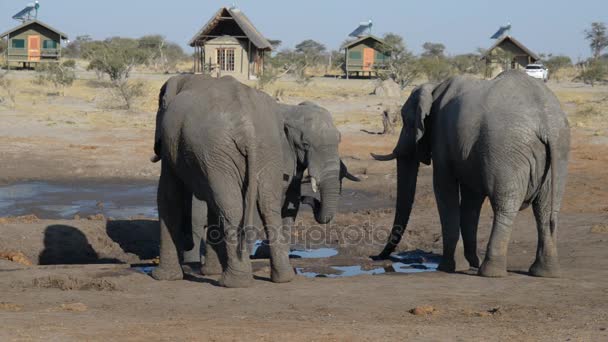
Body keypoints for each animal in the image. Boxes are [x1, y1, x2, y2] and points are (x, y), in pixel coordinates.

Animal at [152, 74, 358, 286]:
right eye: (306, 144)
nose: (311, 199)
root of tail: (247, 128)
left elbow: (169, 196)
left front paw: (166, 276)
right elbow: (172, 196)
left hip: (242, 149)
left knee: (246, 205)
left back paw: (246, 278)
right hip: (227, 151)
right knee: (246, 204)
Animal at [372, 71, 572, 276]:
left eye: (405, 121)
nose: (377, 257)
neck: (434, 87)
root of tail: (547, 123)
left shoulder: (441, 136)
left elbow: (444, 189)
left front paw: (449, 268)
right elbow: (471, 200)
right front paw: (471, 263)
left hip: (507, 150)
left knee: (505, 205)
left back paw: (490, 272)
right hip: (559, 151)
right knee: (546, 209)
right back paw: (545, 272)